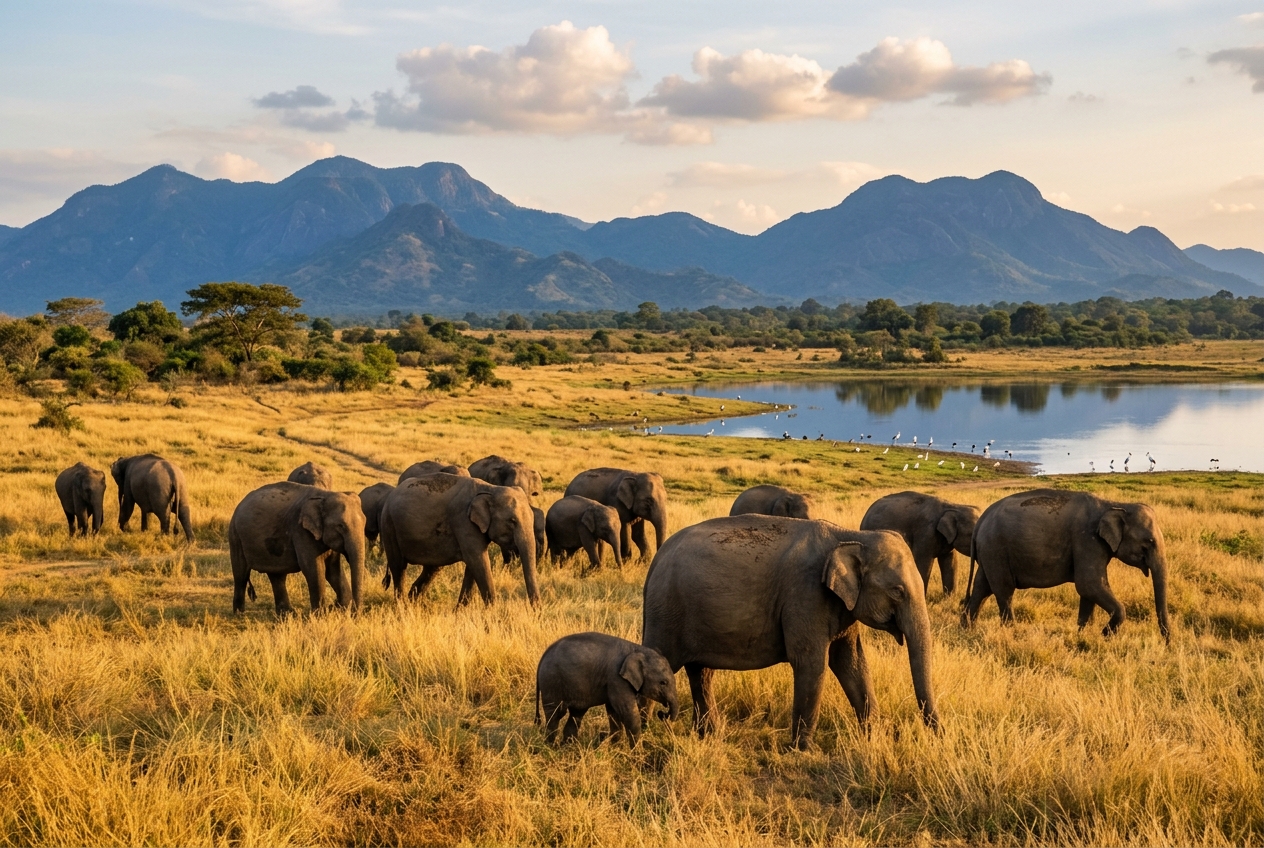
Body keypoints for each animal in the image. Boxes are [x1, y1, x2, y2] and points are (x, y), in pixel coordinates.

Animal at [228, 482, 367, 615]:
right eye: (340, 526)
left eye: (365, 523)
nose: (355, 615)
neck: (325, 495)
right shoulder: (301, 531)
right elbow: (313, 568)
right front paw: (321, 615)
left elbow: (333, 570)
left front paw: (340, 609)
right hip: (235, 535)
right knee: (241, 574)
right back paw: (239, 613)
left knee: (277, 575)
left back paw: (287, 613)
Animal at [378, 473, 540, 606]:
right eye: (512, 521)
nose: (536, 614)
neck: (490, 489)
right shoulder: (462, 521)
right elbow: (477, 561)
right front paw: (494, 614)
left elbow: (474, 566)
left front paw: (459, 613)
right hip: (388, 525)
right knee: (398, 567)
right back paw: (403, 608)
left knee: (432, 569)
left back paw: (413, 604)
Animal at [536, 632, 678, 746]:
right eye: (663, 683)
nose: (662, 713)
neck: (637, 649)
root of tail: (543, 656)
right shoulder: (617, 679)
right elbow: (628, 712)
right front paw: (637, 755)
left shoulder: (613, 682)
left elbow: (614, 711)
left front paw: (615, 748)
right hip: (551, 682)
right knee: (555, 714)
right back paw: (551, 747)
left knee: (576, 715)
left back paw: (568, 747)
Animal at [642, 515, 938, 748]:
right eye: (897, 591)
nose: (938, 735)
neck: (851, 536)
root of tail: (656, 559)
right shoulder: (805, 596)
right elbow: (812, 663)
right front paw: (802, 750)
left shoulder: (842, 606)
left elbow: (851, 662)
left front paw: (873, 738)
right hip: (665, 611)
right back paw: (639, 736)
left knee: (701, 672)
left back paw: (708, 735)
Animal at [962, 489, 1170, 641]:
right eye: (1150, 541)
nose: (1167, 643)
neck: (1114, 504)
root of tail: (981, 520)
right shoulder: (1087, 540)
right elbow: (1088, 584)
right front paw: (1104, 636)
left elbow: (1088, 592)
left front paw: (1083, 637)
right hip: (996, 549)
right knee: (1004, 591)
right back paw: (1012, 634)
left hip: (988, 553)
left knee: (982, 588)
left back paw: (966, 630)